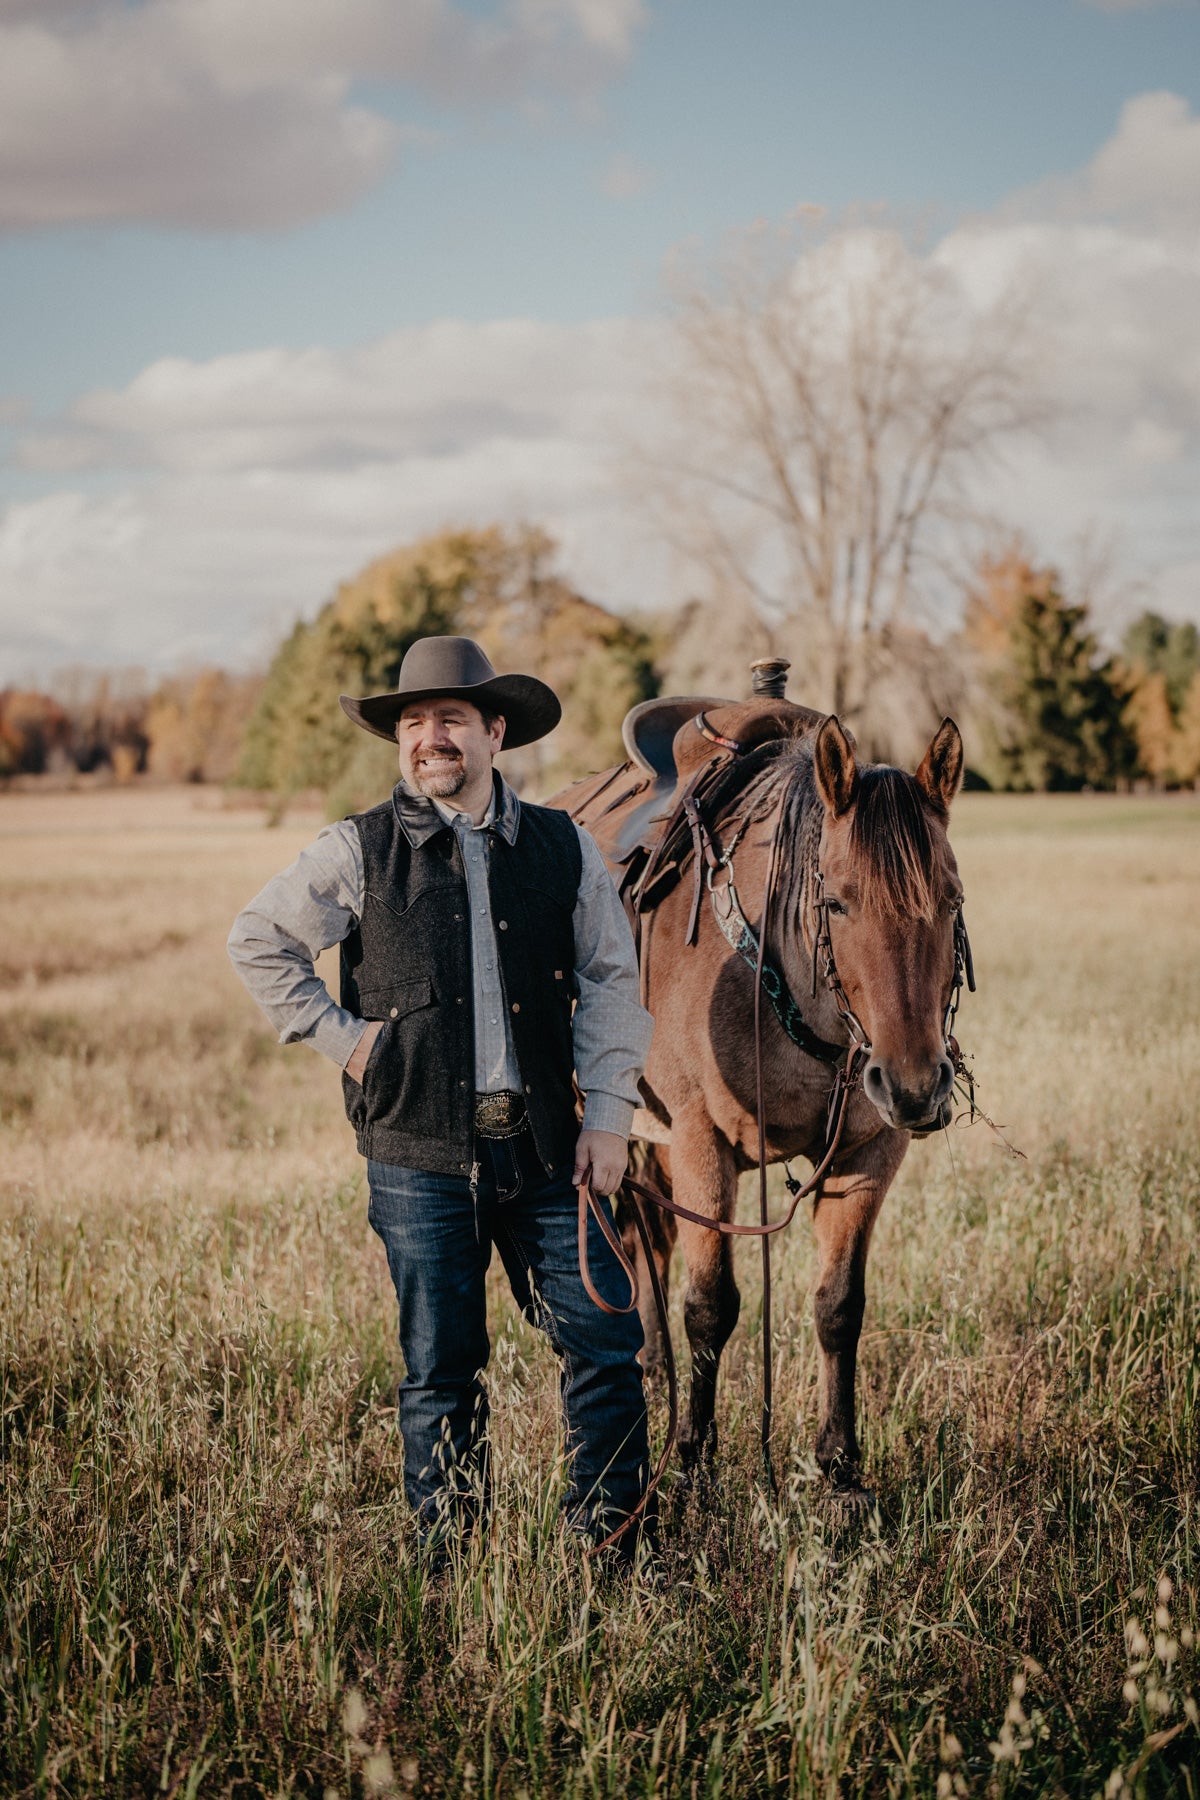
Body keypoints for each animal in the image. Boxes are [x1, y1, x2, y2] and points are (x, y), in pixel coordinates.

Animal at [550, 702, 971, 1504]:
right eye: (836, 901)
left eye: (952, 899)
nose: (913, 1087)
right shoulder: (699, 1146)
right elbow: (710, 1308)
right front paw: (692, 1462)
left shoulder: (869, 1155)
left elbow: (839, 1306)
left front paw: (840, 1467)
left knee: (647, 1241)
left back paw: (650, 1364)